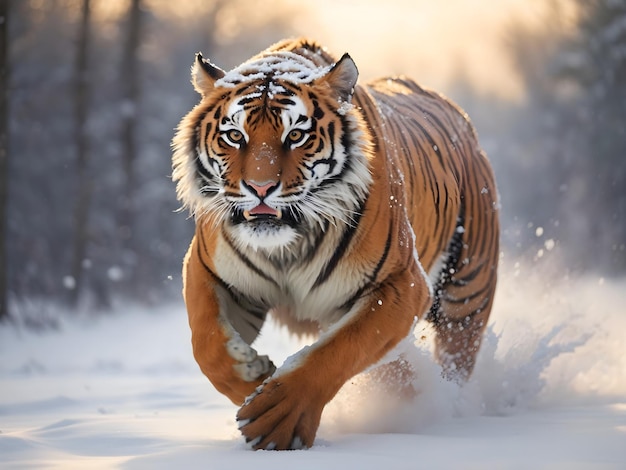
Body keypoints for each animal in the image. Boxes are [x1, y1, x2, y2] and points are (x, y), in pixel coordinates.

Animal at [169, 38, 498, 450]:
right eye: (235, 136)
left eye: (296, 136)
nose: (260, 188)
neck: (288, 247)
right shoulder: (210, 270)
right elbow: (206, 342)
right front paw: (252, 375)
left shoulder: (401, 282)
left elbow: (344, 347)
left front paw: (278, 417)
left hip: (467, 293)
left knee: (455, 356)